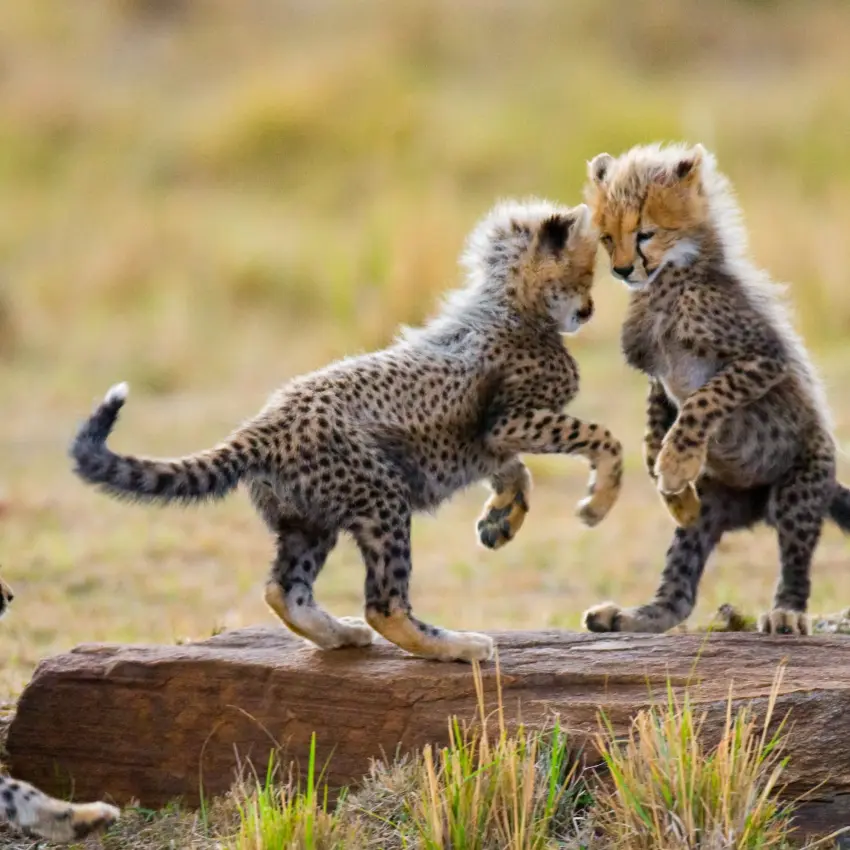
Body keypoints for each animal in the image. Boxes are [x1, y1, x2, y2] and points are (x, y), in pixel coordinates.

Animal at [70, 199, 624, 663]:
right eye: (587, 272)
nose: (589, 310)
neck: (510, 303)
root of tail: (264, 423)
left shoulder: (490, 441)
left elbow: (517, 471)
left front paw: (500, 521)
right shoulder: (510, 420)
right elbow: (601, 438)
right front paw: (597, 503)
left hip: (309, 517)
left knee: (282, 588)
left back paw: (339, 635)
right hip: (382, 497)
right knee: (384, 604)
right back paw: (455, 646)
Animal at [581, 141, 850, 636]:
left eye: (645, 233)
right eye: (607, 237)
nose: (623, 270)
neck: (669, 280)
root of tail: (754, 509)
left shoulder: (762, 358)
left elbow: (705, 399)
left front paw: (676, 463)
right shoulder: (657, 376)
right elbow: (656, 418)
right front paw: (663, 471)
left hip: (799, 487)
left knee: (796, 559)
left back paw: (788, 612)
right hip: (710, 507)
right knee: (679, 590)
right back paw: (631, 615)